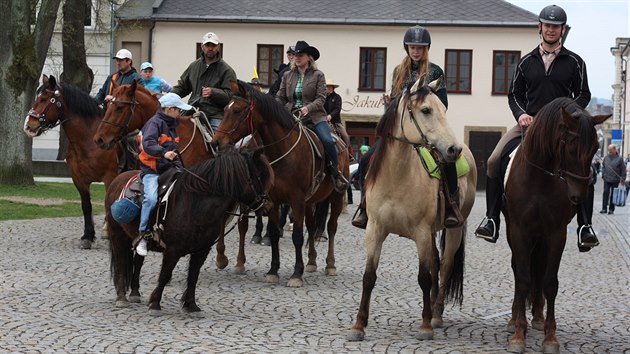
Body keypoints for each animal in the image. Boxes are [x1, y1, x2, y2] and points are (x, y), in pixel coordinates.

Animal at [23, 74, 119, 249]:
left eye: (44, 98)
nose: (29, 126)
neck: (89, 140)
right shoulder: (78, 179)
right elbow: (86, 206)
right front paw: (88, 236)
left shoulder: (110, 177)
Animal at [106, 148, 274, 312]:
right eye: (260, 176)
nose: (268, 207)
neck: (194, 202)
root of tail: (117, 180)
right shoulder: (173, 250)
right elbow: (165, 274)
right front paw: (155, 303)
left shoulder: (202, 250)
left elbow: (193, 275)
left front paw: (191, 305)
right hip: (117, 236)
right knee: (120, 263)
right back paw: (121, 298)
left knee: (138, 261)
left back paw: (134, 293)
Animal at [211, 81, 350, 288]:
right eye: (225, 109)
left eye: (236, 110)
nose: (216, 142)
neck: (282, 152)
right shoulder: (274, 200)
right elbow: (274, 233)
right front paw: (273, 270)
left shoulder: (296, 200)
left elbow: (297, 236)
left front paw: (296, 274)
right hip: (310, 201)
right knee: (311, 226)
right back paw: (311, 261)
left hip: (336, 196)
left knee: (331, 227)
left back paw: (330, 265)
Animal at [346, 79, 478, 342]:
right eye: (426, 110)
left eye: (443, 109)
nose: (454, 149)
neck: (397, 176)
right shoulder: (375, 230)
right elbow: (369, 277)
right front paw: (358, 325)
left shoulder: (421, 233)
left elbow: (424, 277)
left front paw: (425, 326)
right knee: (436, 263)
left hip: (454, 229)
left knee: (445, 266)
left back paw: (436, 314)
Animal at [504, 97, 612, 354]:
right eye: (571, 147)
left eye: (596, 148)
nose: (579, 195)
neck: (540, 179)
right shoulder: (520, 231)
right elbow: (522, 278)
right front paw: (518, 335)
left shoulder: (556, 233)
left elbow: (550, 282)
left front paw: (550, 337)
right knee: (519, 269)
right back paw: (515, 318)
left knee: (539, 269)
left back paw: (537, 316)